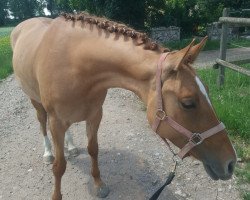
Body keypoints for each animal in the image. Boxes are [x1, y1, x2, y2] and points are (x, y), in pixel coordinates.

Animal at [10, 12, 236, 200]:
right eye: (188, 103)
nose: (231, 163)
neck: (73, 63)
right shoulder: (57, 121)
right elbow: (59, 166)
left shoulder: (94, 115)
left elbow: (93, 150)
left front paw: (99, 185)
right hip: (37, 103)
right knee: (42, 123)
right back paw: (48, 153)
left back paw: (72, 146)